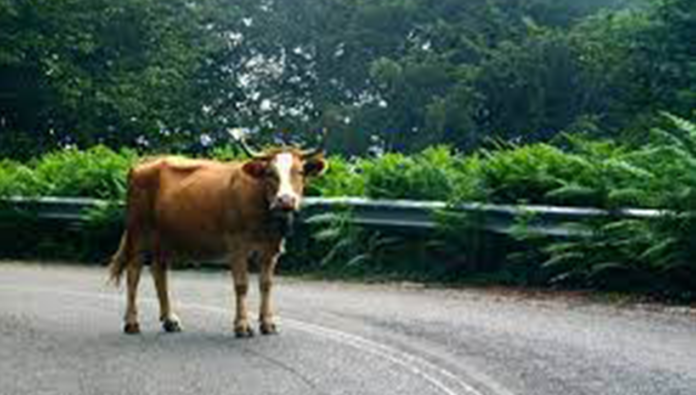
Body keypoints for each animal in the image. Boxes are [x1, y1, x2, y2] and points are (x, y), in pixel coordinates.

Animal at [107, 133, 328, 338]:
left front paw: (267, 324)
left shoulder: (271, 250)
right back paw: (132, 323)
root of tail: (148, 161)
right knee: (133, 273)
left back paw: (170, 320)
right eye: (270, 173)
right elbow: (241, 285)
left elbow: (266, 285)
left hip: (163, 238)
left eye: (299, 172)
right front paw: (242, 326)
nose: (286, 200)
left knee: (159, 272)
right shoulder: (237, 247)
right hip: (139, 232)